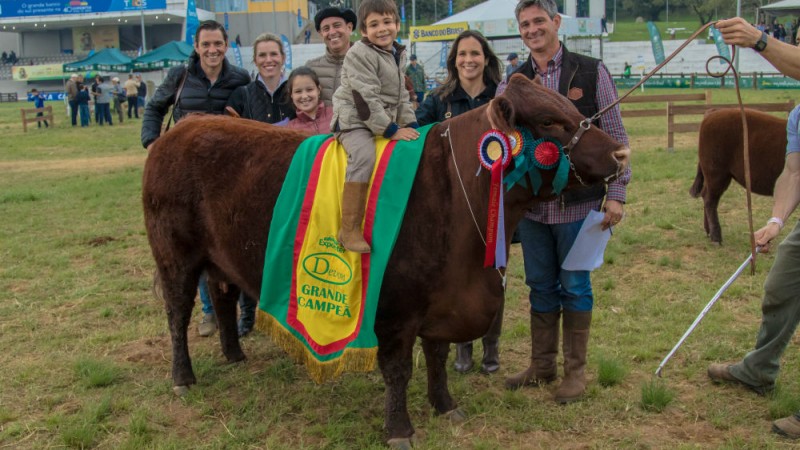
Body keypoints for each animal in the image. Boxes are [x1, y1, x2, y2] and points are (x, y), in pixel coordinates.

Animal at [144, 74, 632, 446]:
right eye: (550, 121)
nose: (620, 153)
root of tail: (186, 126)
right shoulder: (394, 310)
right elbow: (398, 370)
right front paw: (400, 428)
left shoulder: (441, 303)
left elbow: (437, 357)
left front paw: (445, 405)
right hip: (175, 256)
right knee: (177, 313)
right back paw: (183, 377)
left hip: (218, 257)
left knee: (223, 297)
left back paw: (234, 355)